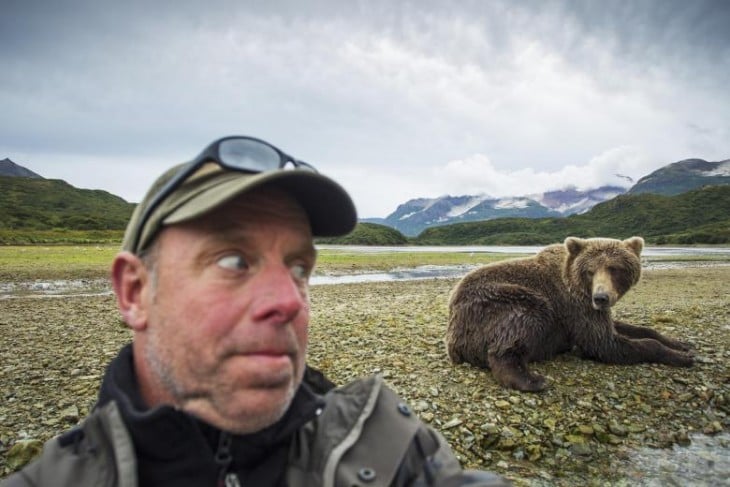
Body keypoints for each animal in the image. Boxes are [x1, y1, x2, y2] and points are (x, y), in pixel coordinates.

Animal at [446, 236, 692, 392]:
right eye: (590, 271)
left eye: (615, 268)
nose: (601, 297)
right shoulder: (573, 304)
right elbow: (603, 343)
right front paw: (683, 357)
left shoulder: (591, 309)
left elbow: (625, 327)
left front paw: (680, 343)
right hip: (500, 302)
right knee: (522, 325)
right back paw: (533, 380)